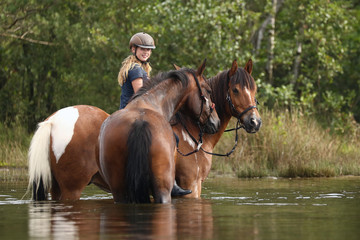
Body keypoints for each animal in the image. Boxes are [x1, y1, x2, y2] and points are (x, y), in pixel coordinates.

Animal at [97, 61, 219, 203]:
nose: (216, 122)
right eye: (209, 90)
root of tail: (140, 122)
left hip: (119, 190)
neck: (153, 103)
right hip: (163, 189)